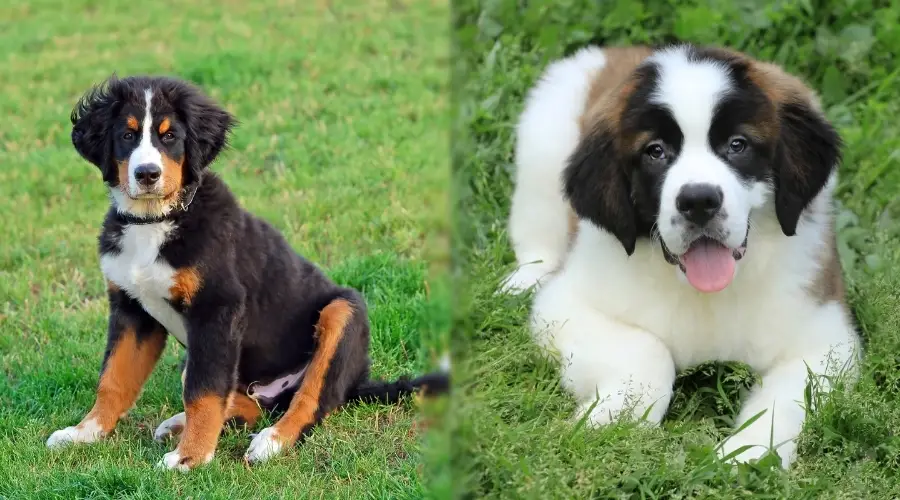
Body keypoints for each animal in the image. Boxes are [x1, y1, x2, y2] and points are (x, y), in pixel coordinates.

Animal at [45, 74, 446, 468]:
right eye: (127, 135)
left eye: (169, 136)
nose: (147, 174)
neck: (155, 221)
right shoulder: (131, 309)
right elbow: (114, 377)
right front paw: (84, 433)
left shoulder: (217, 309)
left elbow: (203, 391)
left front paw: (190, 457)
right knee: (249, 403)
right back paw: (180, 424)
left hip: (343, 311)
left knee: (311, 399)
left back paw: (271, 442)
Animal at [502, 44, 860, 468]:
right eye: (655, 152)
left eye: (737, 145)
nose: (699, 201)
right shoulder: (565, 306)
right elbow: (649, 350)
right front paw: (612, 419)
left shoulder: (827, 338)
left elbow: (789, 398)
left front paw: (750, 453)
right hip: (544, 134)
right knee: (536, 230)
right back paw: (522, 280)